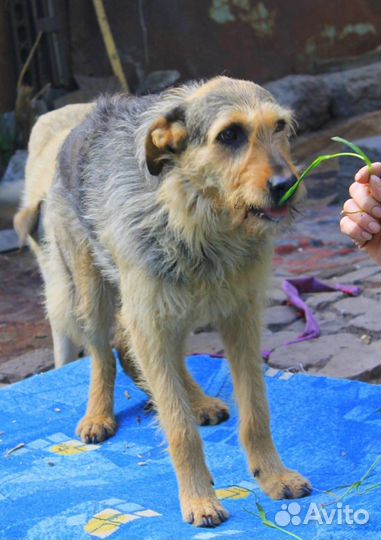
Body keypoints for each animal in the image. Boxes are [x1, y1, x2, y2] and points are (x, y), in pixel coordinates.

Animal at [16, 77, 310, 528]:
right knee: (104, 352)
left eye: (279, 127)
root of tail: (87, 116)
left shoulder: (241, 318)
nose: (286, 186)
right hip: (92, 292)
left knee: (146, 352)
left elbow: (256, 411)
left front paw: (273, 477)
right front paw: (199, 498)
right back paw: (99, 414)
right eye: (229, 135)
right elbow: (179, 427)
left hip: (170, 309)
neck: (202, 220)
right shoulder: (152, 322)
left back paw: (199, 400)